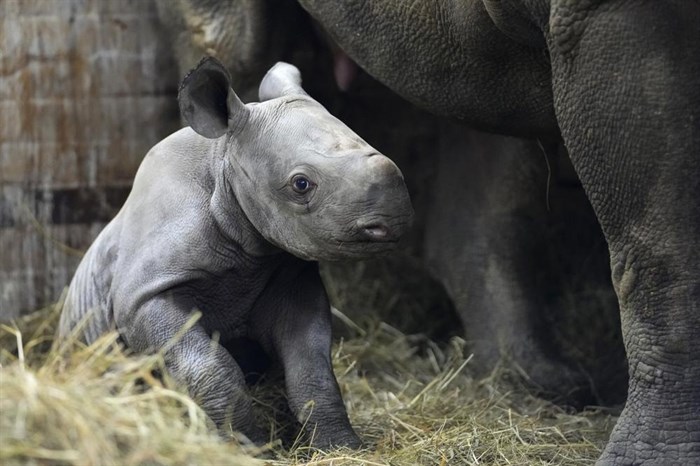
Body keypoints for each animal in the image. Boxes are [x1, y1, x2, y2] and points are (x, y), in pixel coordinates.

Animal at [58, 57, 416, 448]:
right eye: (301, 184)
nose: (392, 222)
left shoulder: (290, 277)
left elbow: (311, 367)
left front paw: (341, 446)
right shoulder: (144, 295)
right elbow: (210, 366)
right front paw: (250, 447)